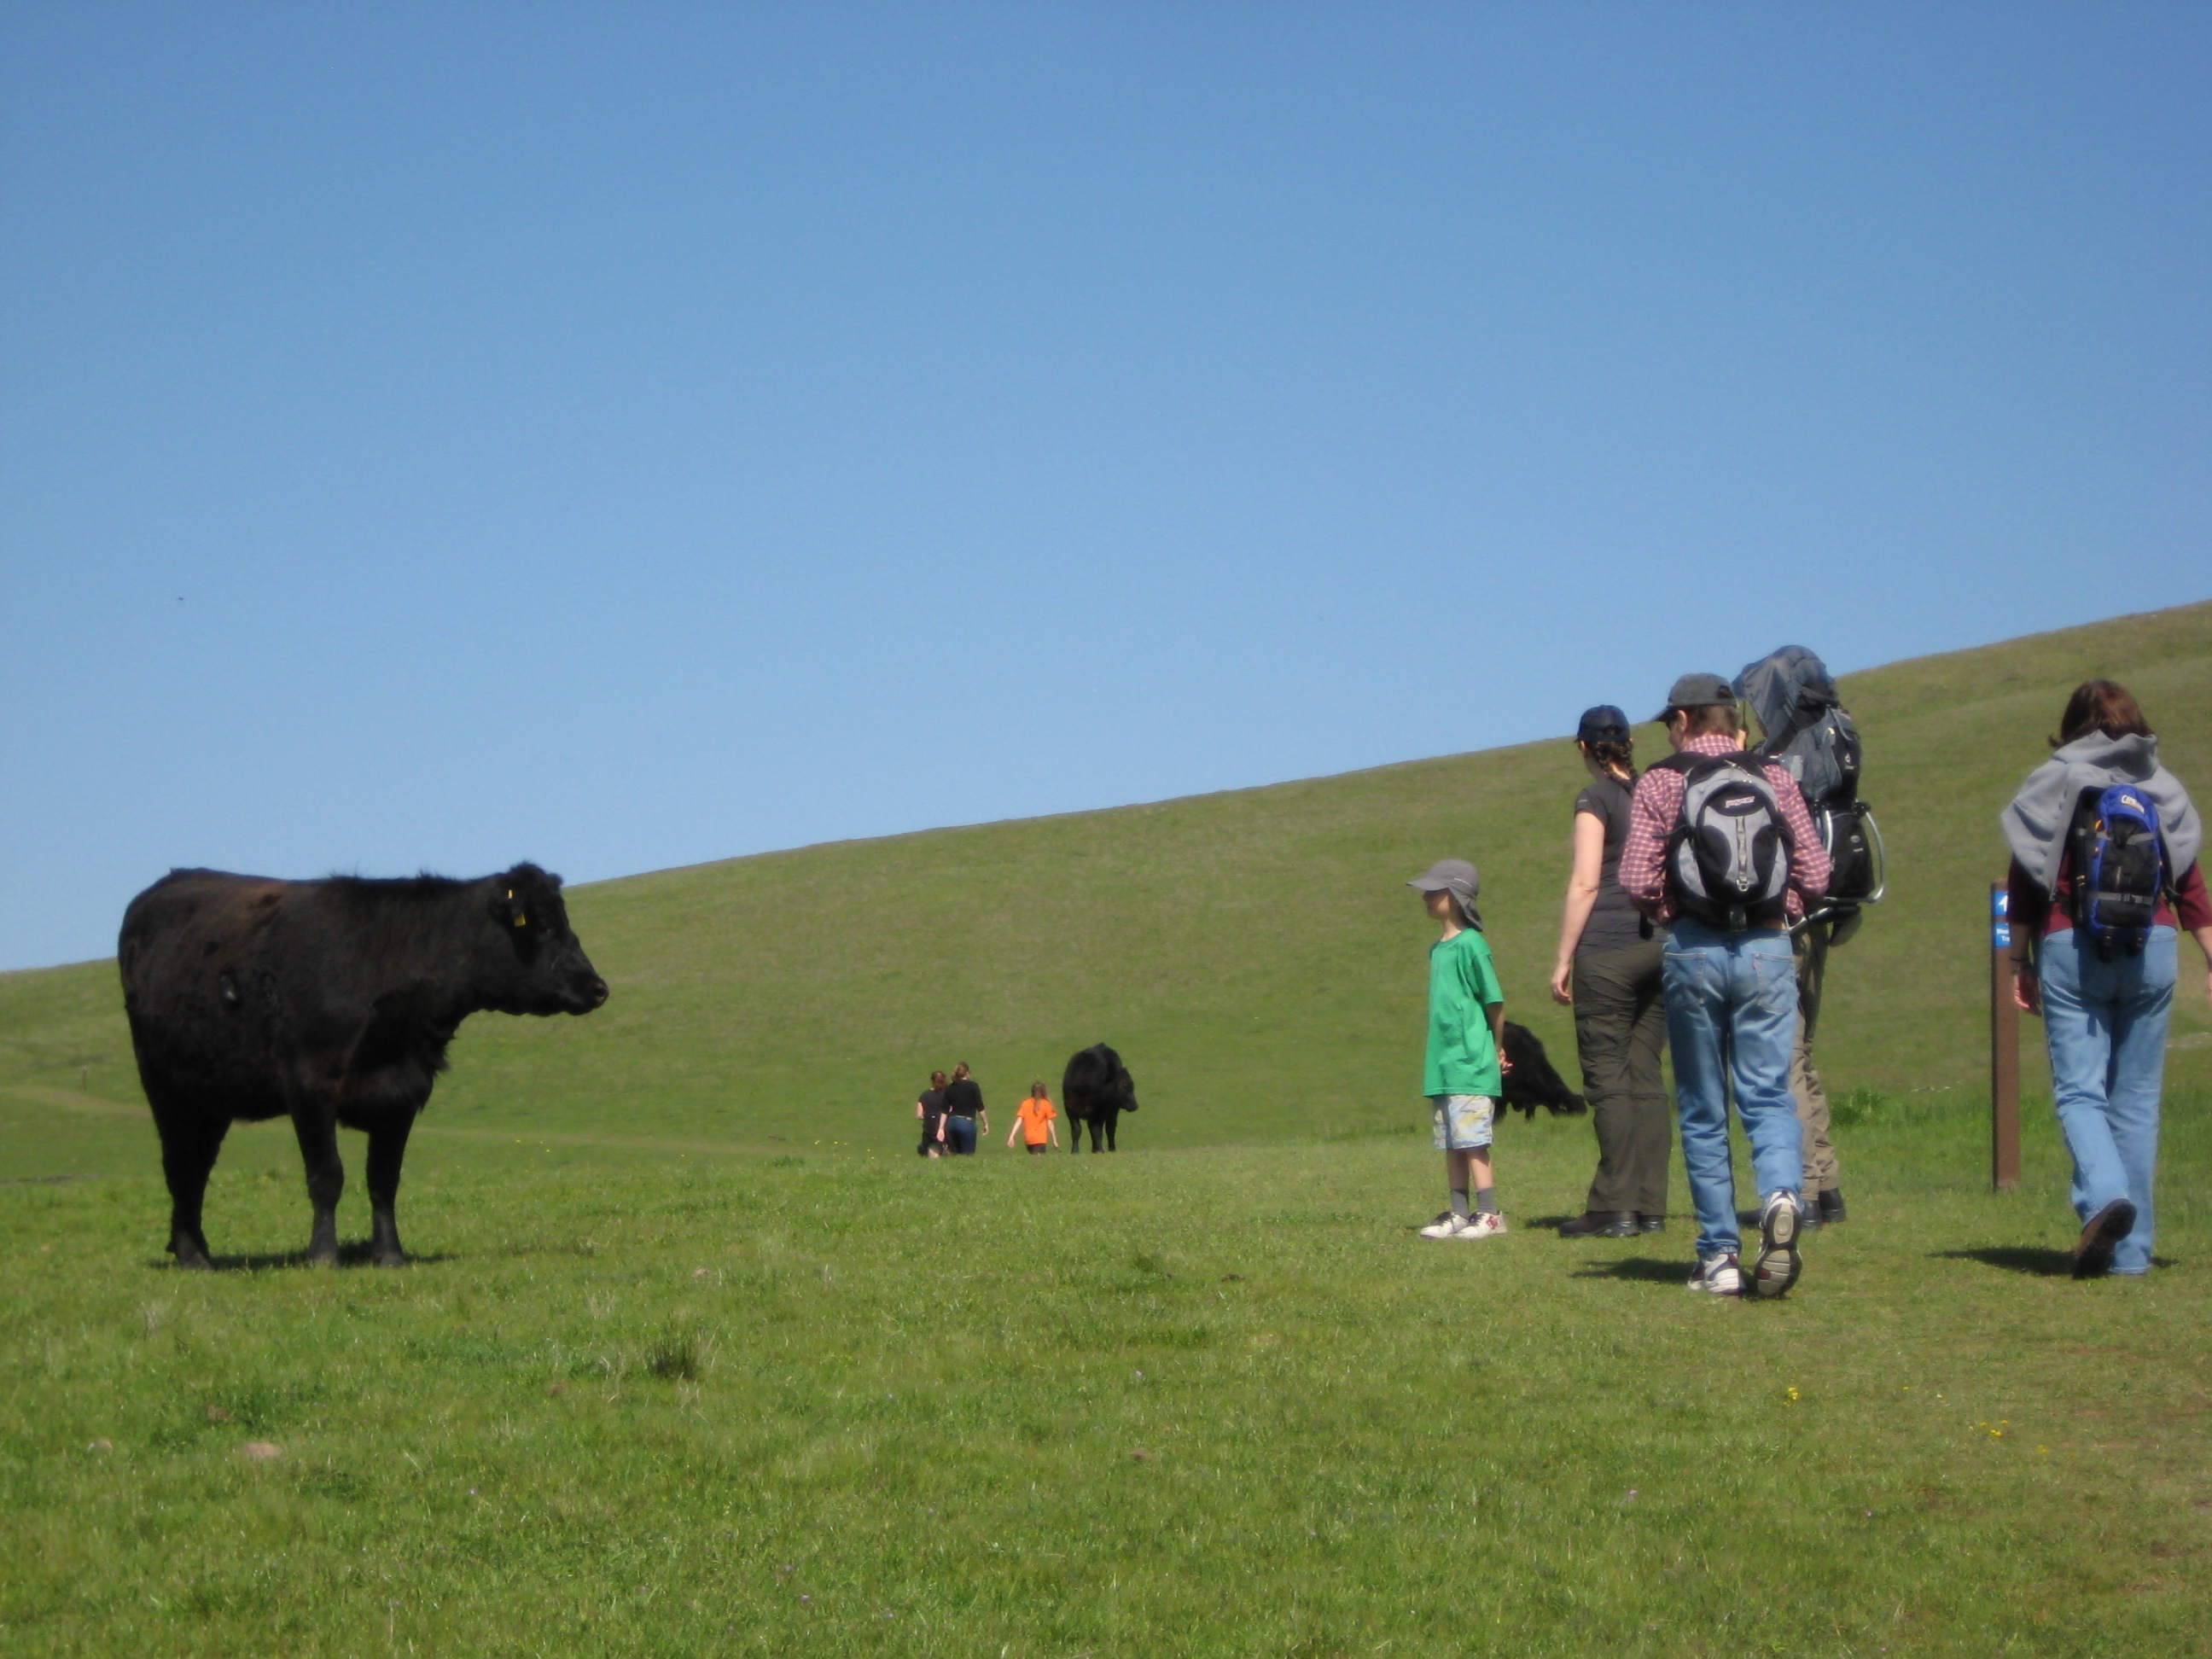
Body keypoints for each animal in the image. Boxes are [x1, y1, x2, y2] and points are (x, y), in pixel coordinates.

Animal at [118, 862, 610, 1265]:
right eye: (541, 925)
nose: (597, 986)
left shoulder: (404, 1091)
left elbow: (384, 1179)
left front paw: (390, 1254)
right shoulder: (309, 1085)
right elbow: (326, 1175)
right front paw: (323, 1255)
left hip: (209, 1096)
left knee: (194, 1166)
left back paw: (193, 1248)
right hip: (162, 1083)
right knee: (181, 1166)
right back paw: (192, 1255)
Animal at [1066, 1039, 1141, 1159]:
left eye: (1132, 1086)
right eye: (1124, 1086)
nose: (1135, 1105)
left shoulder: (1099, 1111)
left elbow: (1097, 1131)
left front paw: (1099, 1150)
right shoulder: (1070, 1109)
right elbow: (1076, 1130)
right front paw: (1075, 1151)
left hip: (1113, 1110)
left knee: (1110, 1128)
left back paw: (1111, 1149)